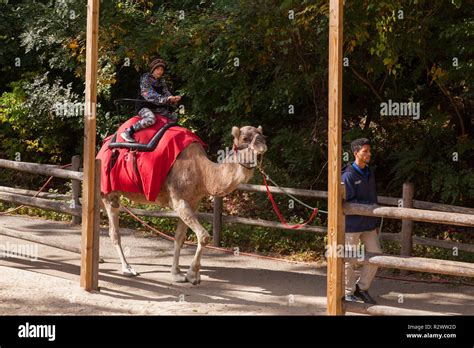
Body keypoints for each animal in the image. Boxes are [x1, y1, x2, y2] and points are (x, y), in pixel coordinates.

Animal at [101, 124, 266, 282]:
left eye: (261, 134)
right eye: (245, 138)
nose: (262, 143)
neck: (203, 173)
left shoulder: (192, 202)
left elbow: (179, 238)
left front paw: (176, 273)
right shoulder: (179, 201)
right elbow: (204, 236)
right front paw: (193, 275)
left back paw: (102, 260)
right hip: (109, 191)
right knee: (114, 231)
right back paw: (127, 268)